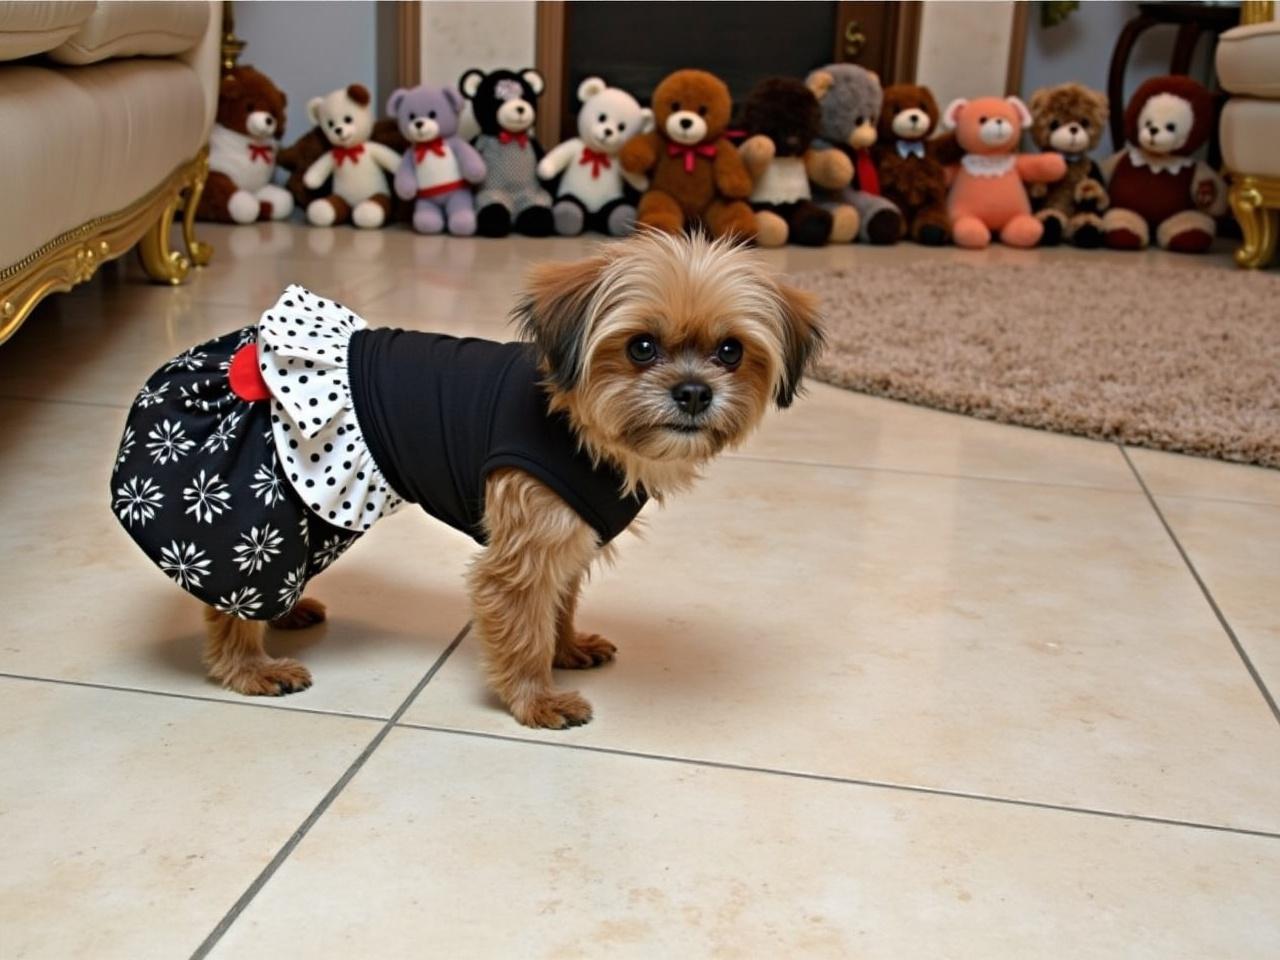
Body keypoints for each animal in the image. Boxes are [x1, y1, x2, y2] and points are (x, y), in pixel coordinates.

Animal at [115, 232, 824, 727]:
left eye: (731, 350)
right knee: (229, 603)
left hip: (313, 519)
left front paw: (567, 647)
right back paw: (250, 668)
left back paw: (287, 617)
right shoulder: (522, 554)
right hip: (263, 516)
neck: (579, 426)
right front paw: (537, 701)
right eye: (641, 347)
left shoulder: (567, 540)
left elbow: (559, 607)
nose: (694, 393)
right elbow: (524, 628)